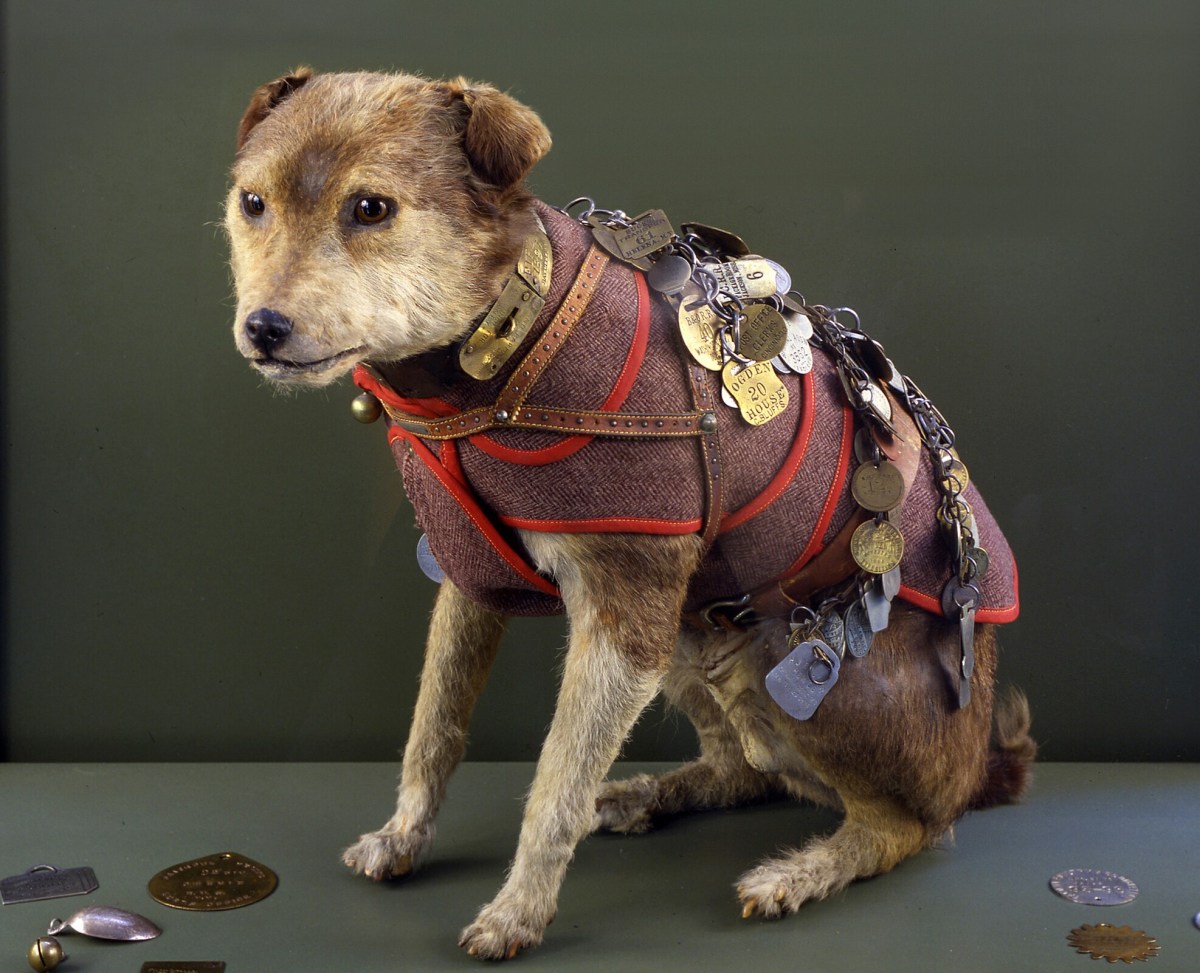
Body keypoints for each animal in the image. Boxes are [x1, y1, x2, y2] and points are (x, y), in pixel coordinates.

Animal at [229, 66, 1036, 959]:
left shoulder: (623, 620)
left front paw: (518, 909)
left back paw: (801, 870)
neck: (510, 333)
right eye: (253, 202)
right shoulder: (471, 578)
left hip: (797, 669)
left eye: (371, 207)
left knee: (909, 825)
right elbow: (432, 724)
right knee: (746, 767)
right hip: (696, 636)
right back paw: (645, 795)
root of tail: (982, 762)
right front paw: (405, 834)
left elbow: (555, 777)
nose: (263, 327)